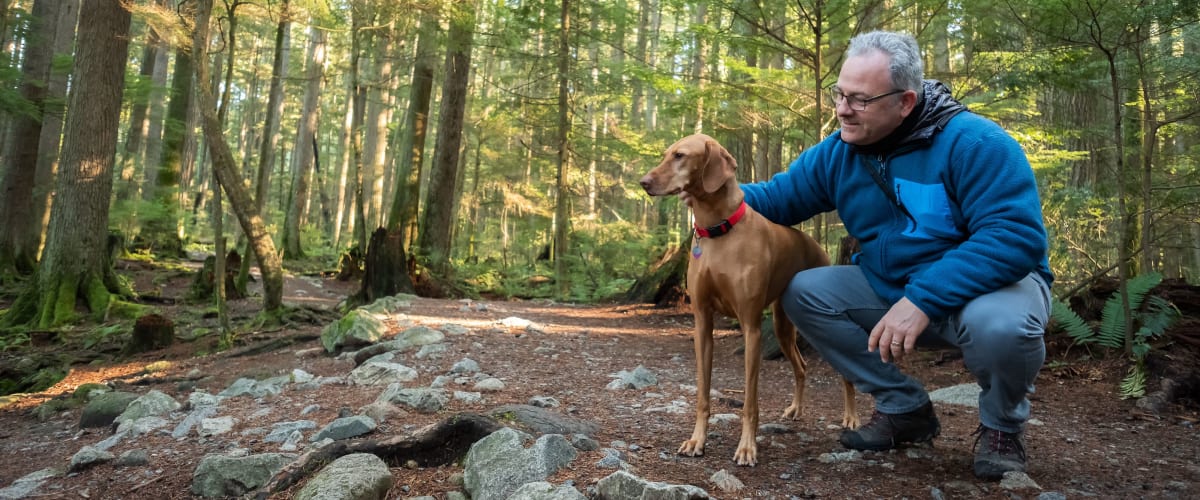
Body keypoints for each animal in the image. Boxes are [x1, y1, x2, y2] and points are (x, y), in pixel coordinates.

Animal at [643, 132, 859, 462]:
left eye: (680, 155)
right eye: (666, 154)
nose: (644, 182)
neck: (719, 232)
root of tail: (817, 246)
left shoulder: (751, 329)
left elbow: (749, 402)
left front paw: (746, 447)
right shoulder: (702, 324)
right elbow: (703, 395)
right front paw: (696, 440)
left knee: (846, 375)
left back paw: (851, 417)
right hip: (783, 327)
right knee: (802, 368)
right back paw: (795, 409)